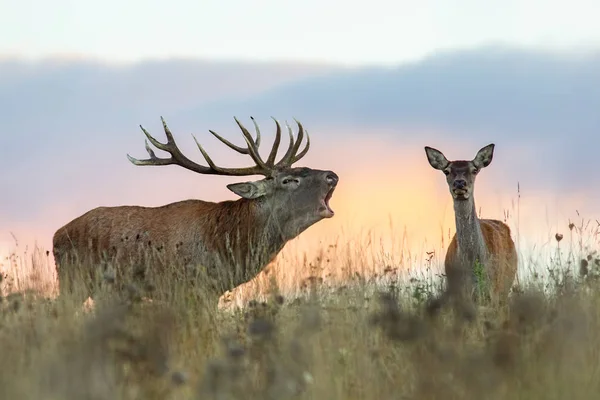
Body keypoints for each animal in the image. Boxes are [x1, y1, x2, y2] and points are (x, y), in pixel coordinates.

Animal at [52, 116, 338, 306]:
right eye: (289, 180)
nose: (332, 175)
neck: (227, 243)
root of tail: (57, 234)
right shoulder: (192, 287)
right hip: (73, 280)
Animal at [424, 144, 516, 316]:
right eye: (447, 171)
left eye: (474, 170)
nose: (460, 183)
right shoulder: (459, 293)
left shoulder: (494, 290)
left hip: (505, 286)